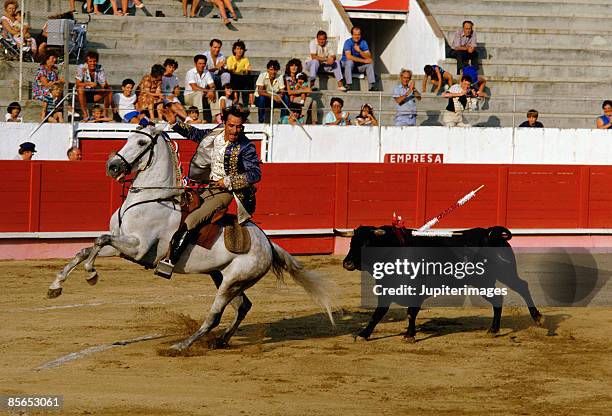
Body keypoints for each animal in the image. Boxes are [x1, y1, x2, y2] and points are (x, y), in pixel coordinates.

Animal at [47, 123, 334, 352]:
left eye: (141, 142)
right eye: (127, 138)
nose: (112, 165)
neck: (151, 196)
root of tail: (268, 243)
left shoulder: (138, 248)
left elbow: (99, 240)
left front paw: (91, 274)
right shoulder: (123, 245)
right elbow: (88, 248)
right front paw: (56, 286)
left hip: (233, 280)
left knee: (215, 315)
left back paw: (180, 346)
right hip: (223, 277)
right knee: (243, 306)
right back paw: (220, 341)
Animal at [340, 228, 544, 342]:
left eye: (367, 243)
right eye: (351, 242)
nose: (347, 263)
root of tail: (492, 234)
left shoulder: (416, 291)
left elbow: (411, 312)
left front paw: (409, 335)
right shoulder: (386, 289)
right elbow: (378, 313)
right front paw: (364, 334)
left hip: (505, 273)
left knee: (522, 287)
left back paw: (538, 318)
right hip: (483, 282)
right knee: (498, 298)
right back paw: (493, 330)